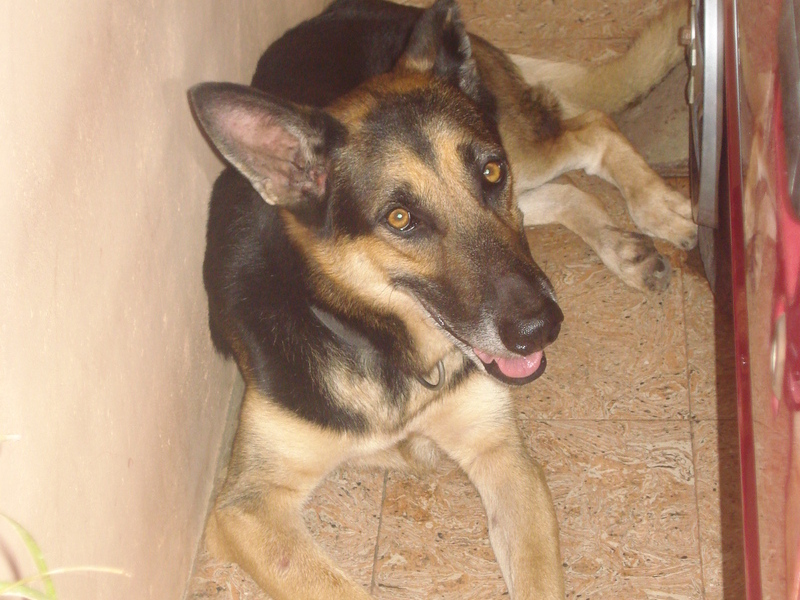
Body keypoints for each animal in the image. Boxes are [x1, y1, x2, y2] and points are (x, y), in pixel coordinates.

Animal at [188, 1, 692, 600]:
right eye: (400, 218)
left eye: (490, 172)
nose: (540, 328)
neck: (384, 345)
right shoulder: (246, 509)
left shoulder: (501, 454)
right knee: (566, 189)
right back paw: (625, 249)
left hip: (524, 152)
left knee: (593, 130)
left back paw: (658, 207)